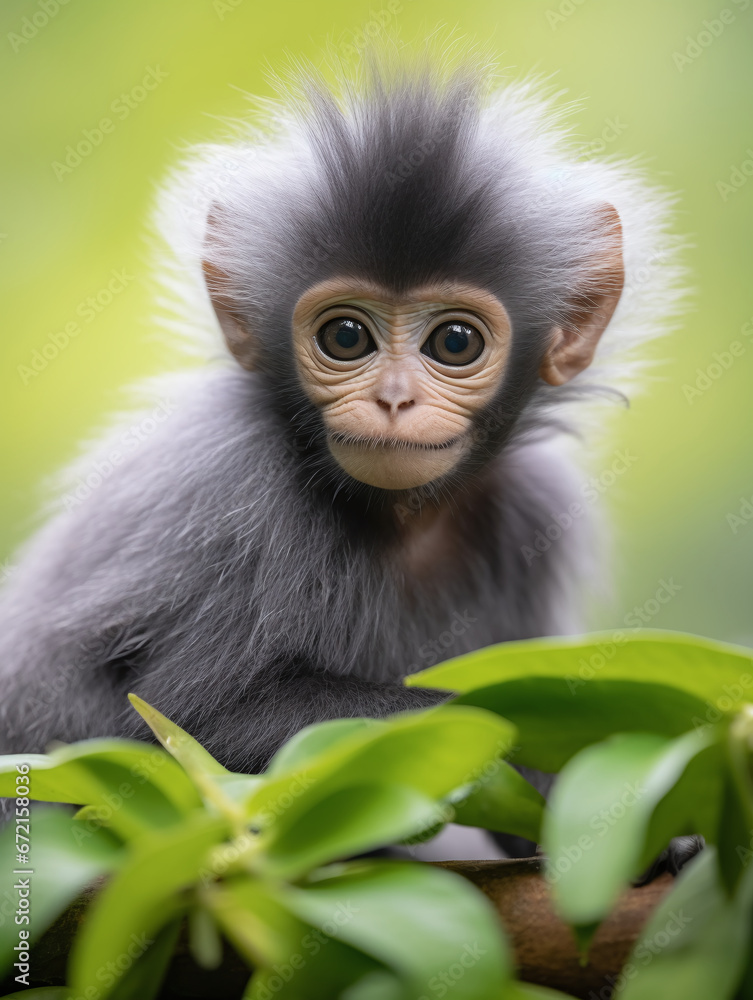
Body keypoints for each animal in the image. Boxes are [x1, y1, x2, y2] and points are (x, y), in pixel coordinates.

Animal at [0, 56, 687, 862]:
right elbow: (178, 724)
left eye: (455, 342)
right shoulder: (234, 489)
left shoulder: (532, 510)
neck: (400, 516)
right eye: (346, 337)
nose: (392, 399)